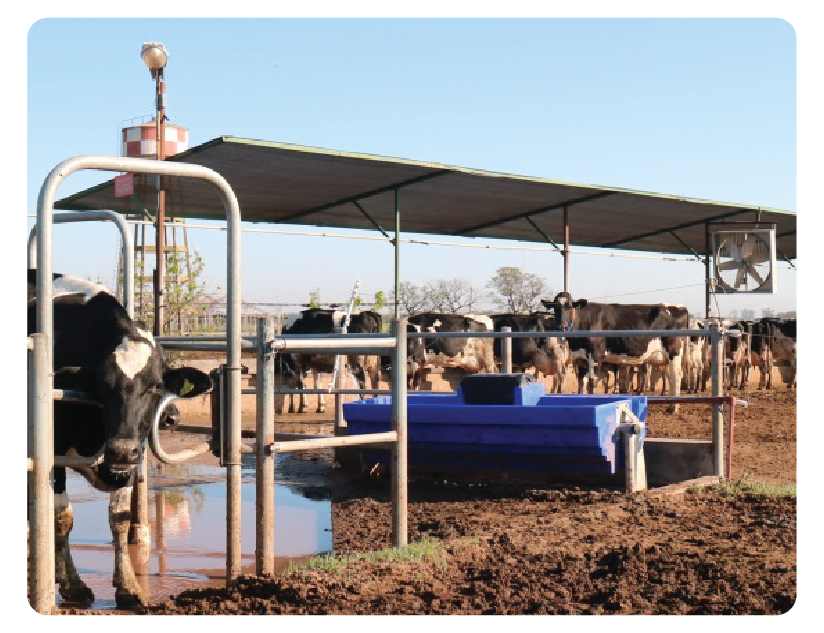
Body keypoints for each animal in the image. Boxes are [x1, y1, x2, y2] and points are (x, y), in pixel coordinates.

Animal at [27, 271, 212, 608]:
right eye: (101, 385)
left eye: (156, 385)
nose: (122, 450)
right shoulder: (52, 451)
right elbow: (61, 518)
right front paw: (73, 587)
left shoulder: (129, 457)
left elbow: (121, 518)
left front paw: (128, 586)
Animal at [540, 293, 689, 412]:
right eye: (555, 307)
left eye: (570, 306)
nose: (562, 326)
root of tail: (681, 307)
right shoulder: (579, 359)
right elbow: (581, 384)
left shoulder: (596, 356)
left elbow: (591, 383)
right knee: (672, 377)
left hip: (674, 352)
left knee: (676, 376)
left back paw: (673, 408)